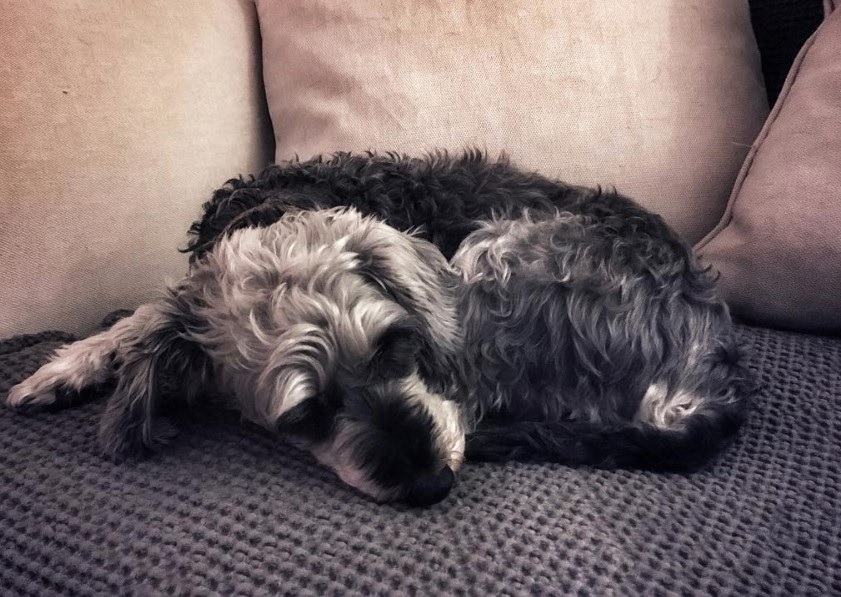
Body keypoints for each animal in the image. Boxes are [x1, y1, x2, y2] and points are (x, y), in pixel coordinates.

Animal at [6, 151, 748, 506]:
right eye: (304, 415)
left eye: (400, 346)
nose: (430, 483)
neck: (266, 216)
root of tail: (705, 379)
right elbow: (148, 313)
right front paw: (69, 364)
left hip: (492, 257)